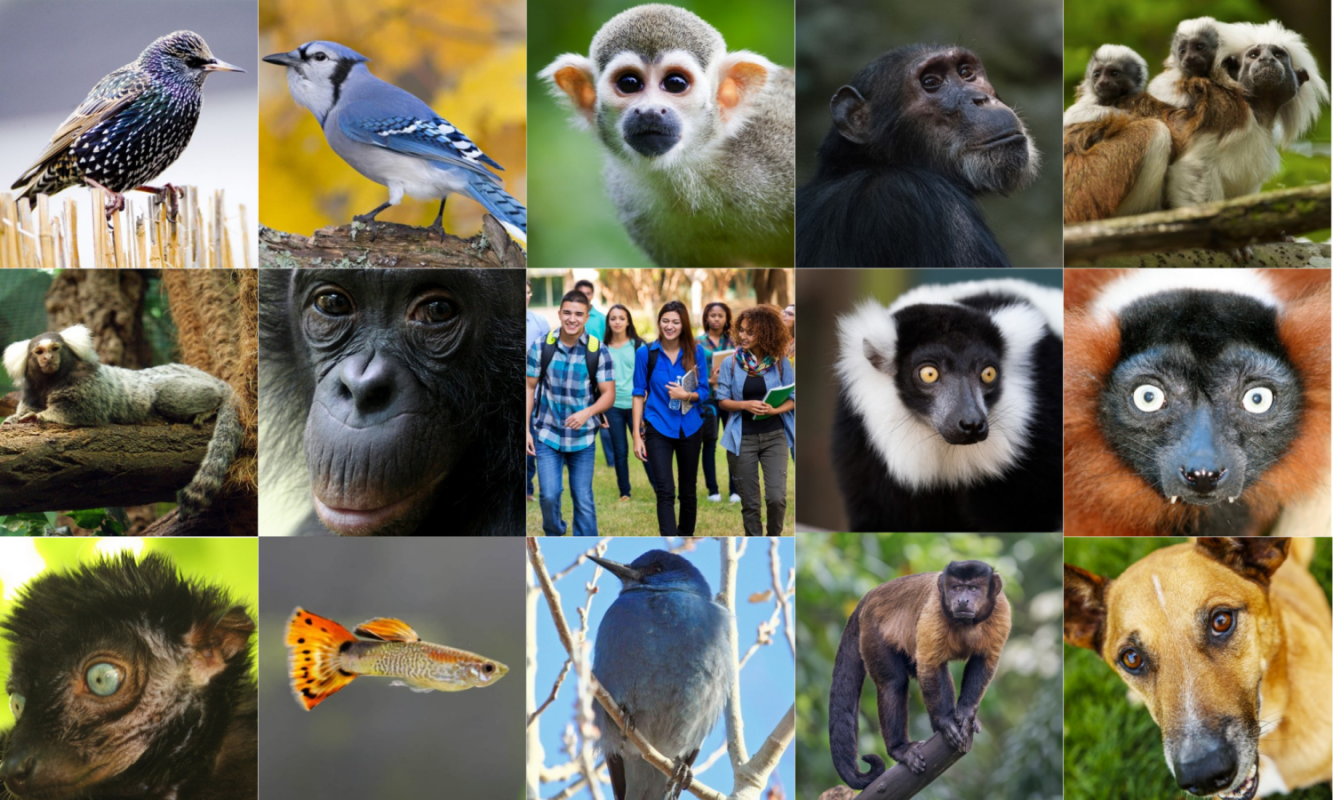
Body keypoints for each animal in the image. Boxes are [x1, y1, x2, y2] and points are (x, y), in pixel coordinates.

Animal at [1, 324, 241, 517]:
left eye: (55, 349)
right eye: (38, 351)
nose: (48, 359)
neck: (51, 382)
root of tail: (212, 379)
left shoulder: (86, 385)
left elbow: (84, 411)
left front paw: (40, 416)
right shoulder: (32, 391)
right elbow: (24, 409)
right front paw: (12, 419)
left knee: (166, 394)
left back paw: (211, 405)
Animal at [829, 561, 1011, 789]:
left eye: (973, 588)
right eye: (956, 588)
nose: (962, 600)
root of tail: (868, 597)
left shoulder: (1001, 610)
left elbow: (985, 660)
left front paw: (966, 714)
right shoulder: (933, 610)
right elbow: (930, 665)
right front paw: (945, 721)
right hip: (872, 631)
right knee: (893, 683)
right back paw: (900, 748)